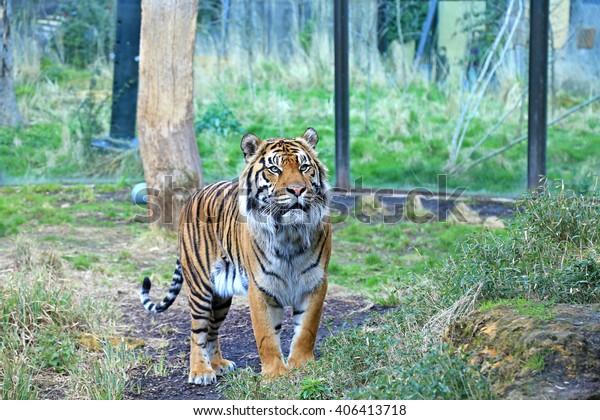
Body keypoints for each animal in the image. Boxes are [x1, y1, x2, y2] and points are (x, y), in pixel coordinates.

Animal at [140, 127, 330, 384]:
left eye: (304, 167)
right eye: (274, 169)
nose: (298, 190)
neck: (290, 232)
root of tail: (192, 196)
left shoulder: (315, 283)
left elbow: (306, 330)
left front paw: (302, 367)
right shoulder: (260, 288)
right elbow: (266, 336)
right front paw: (275, 375)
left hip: (221, 297)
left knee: (212, 329)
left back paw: (218, 364)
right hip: (200, 287)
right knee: (197, 330)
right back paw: (200, 372)